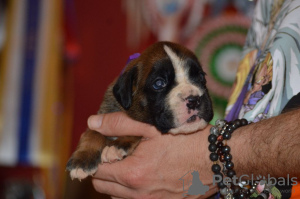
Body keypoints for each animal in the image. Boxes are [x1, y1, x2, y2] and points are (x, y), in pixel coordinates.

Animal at [67, 41, 214, 180]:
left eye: (201, 77)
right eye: (159, 83)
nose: (194, 100)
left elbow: (135, 131)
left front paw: (117, 146)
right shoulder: (102, 114)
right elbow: (92, 133)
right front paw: (82, 160)